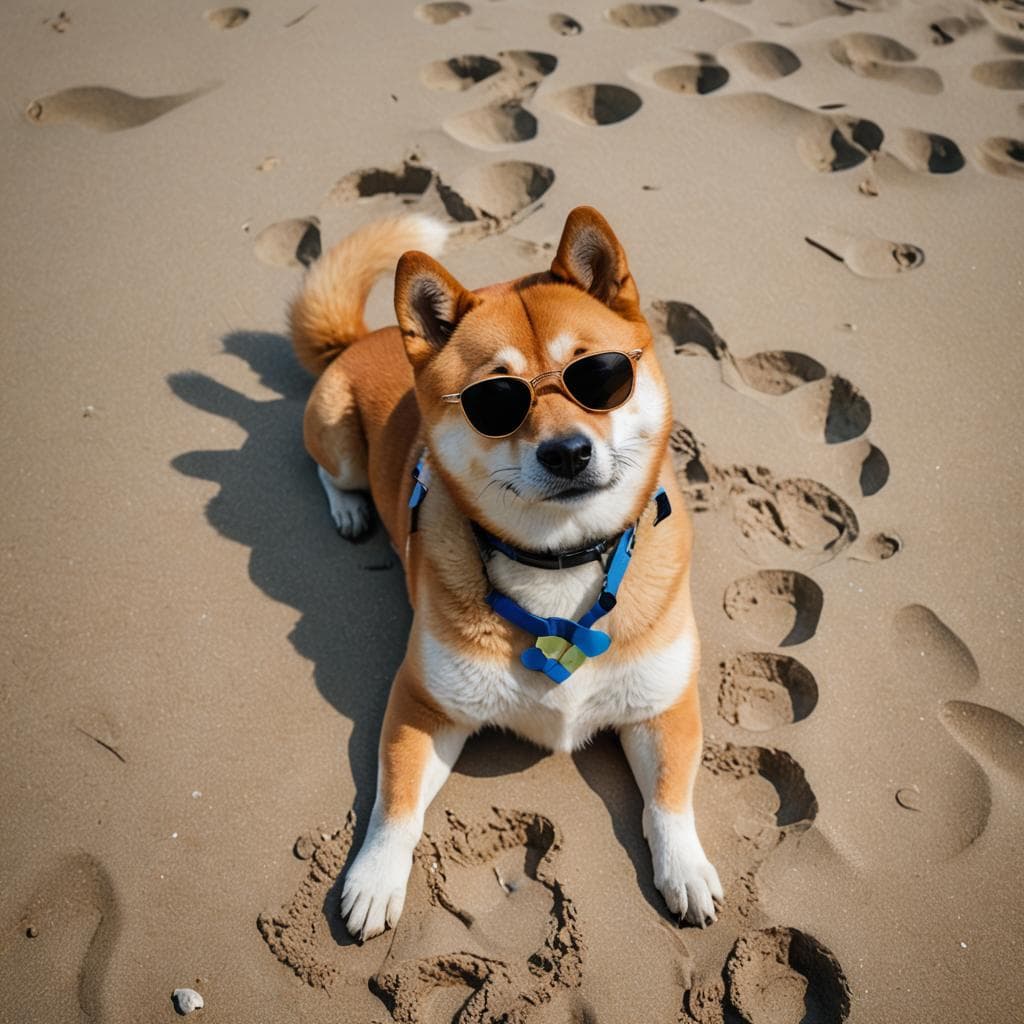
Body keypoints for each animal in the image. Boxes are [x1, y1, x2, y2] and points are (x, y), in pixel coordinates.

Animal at [286, 207, 720, 942]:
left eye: (598, 375)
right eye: (494, 399)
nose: (568, 452)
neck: (560, 557)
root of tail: (363, 337)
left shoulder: (664, 705)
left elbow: (668, 799)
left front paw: (685, 867)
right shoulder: (423, 704)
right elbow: (395, 805)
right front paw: (374, 880)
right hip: (337, 437)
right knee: (328, 470)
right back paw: (349, 509)